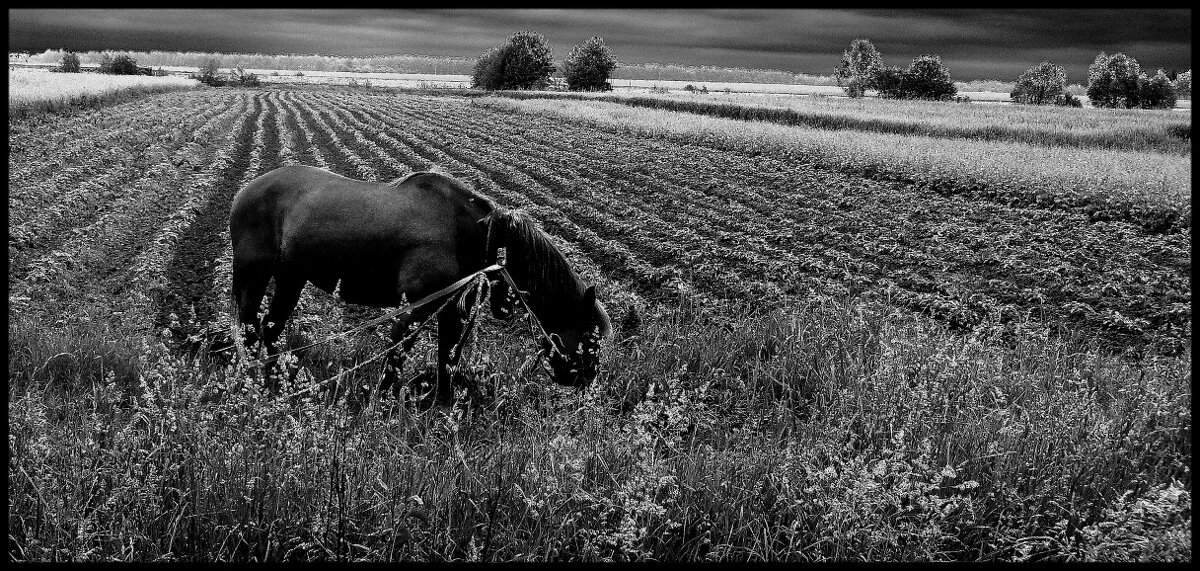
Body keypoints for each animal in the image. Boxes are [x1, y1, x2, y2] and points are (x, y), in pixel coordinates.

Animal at [230, 165, 614, 403]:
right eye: (591, 335)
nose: (587, 379)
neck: (469, 232)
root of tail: (246, 190)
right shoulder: (413, 311)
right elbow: (396, 360)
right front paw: (381, 404)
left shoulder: (453, 311)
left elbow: (448, 359)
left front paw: (441, 406)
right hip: (254, 274)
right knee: (249, 329)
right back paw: (253, 381)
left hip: (291, 278)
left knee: (270, 328)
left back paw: (276, 380)